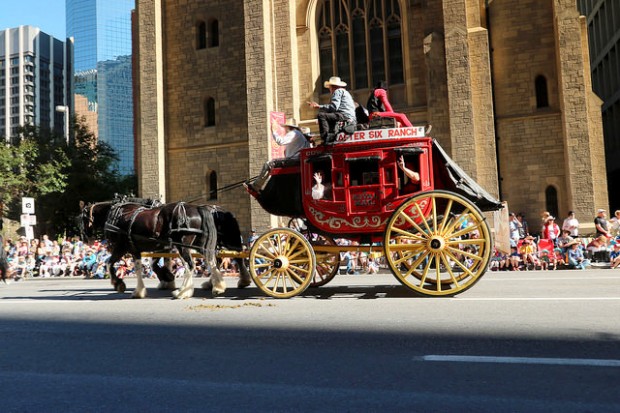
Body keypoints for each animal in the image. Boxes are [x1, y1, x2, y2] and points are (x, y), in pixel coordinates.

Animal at [80, 199, 249, 298]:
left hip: (184, 243)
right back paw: (219, 285)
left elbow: (110, 263)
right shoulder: (140, 248)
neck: (118, 215)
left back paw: (183, 292)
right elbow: (144, 267)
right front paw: (152, 285)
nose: (84, 238)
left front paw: (119, 283)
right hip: (202, 243)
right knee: (215, 260)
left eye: (81, 218)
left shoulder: (122, 246)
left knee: (191, 265)